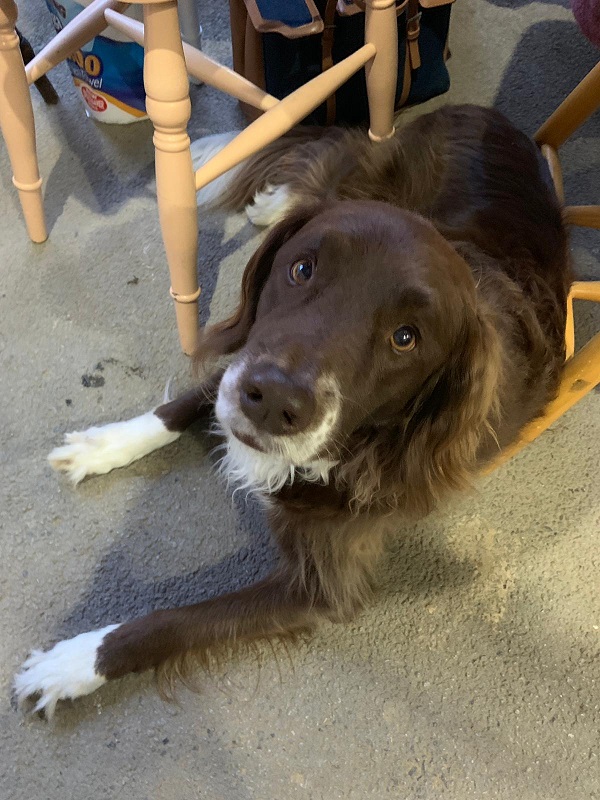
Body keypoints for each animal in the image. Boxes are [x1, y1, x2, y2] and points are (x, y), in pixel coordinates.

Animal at [11, 104, 568, 720]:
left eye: (406, 338)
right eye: (302, 269)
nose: (277, 401)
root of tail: (485, 112)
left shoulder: (319, 585)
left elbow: (170, 623)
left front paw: (72, 663)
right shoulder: (246, 361)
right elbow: (181, 405)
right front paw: (103, 446)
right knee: (325, 164)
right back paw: (275, 201)